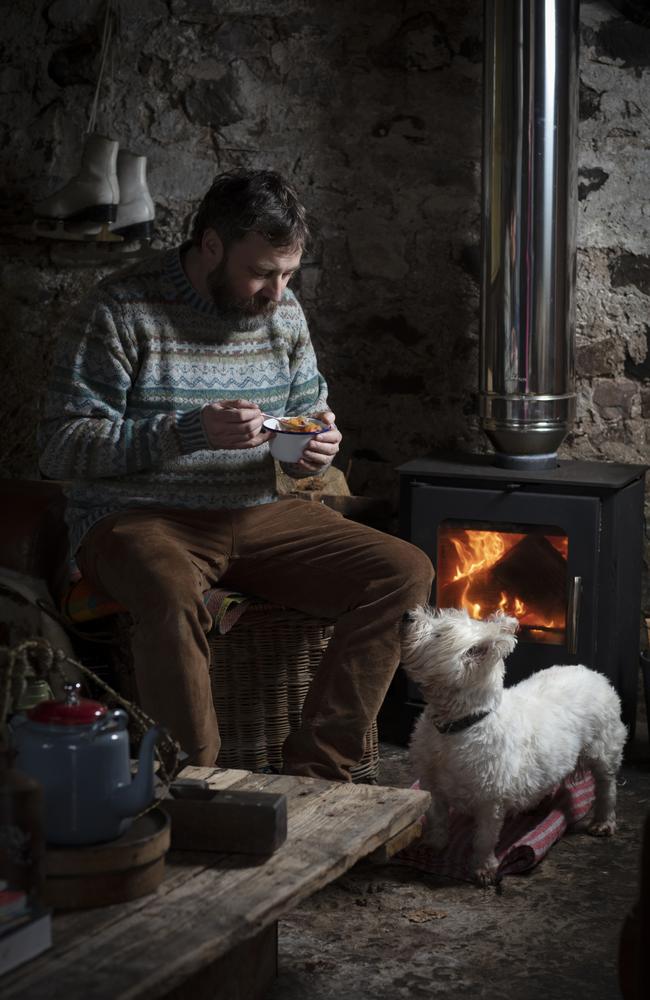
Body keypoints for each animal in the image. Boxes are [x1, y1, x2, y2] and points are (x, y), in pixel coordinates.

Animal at [402, 604, 624, 888]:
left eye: (438, 634)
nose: (407, 615)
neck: (457, 725)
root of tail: (594, 673)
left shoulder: (490, 797)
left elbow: (484, 838)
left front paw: (483, 868)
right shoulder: (433, 784)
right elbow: (437, 818)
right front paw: (432, 845)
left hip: (603, 746)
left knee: (606, 785)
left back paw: (603, 822)